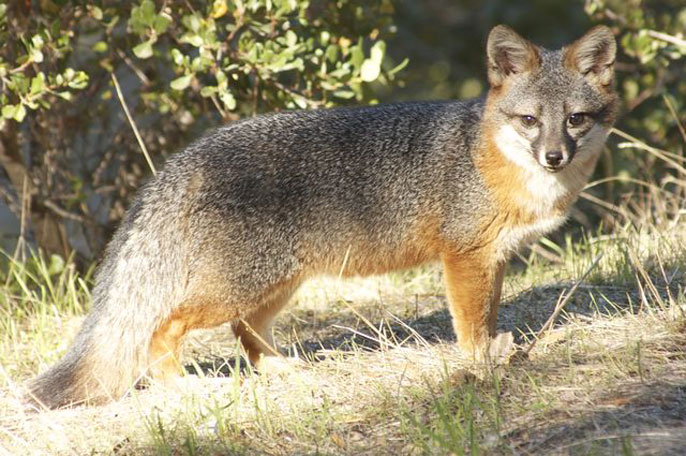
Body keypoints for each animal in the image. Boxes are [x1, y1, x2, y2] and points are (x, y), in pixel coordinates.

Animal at [28, 24, 618, 408]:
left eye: (575, 120)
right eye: (528, 121)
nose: (554, 156)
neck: (497, 160)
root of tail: (183, 161)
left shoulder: (493, 258)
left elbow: (490, 316)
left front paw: (497, 353)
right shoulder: (464, 257)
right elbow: (471, 326)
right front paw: (479, 364)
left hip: (276, 283)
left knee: (247, 333)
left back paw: (280, 368)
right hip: (238, 286)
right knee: (162, 330)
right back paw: (185, 386)